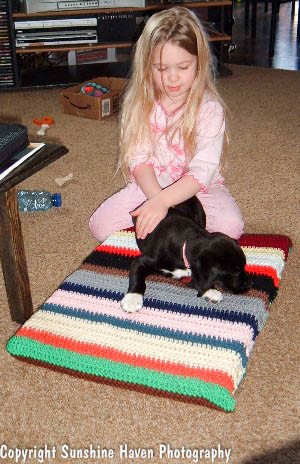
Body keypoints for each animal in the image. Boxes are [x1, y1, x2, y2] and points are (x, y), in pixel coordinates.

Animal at [120, 196, 251, 312]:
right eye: (235, 272)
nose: (250, 284)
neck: (184, 246)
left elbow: (198, 279)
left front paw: (210, 291)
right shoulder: (141, 261)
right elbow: (138, 279)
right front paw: (132, 299)